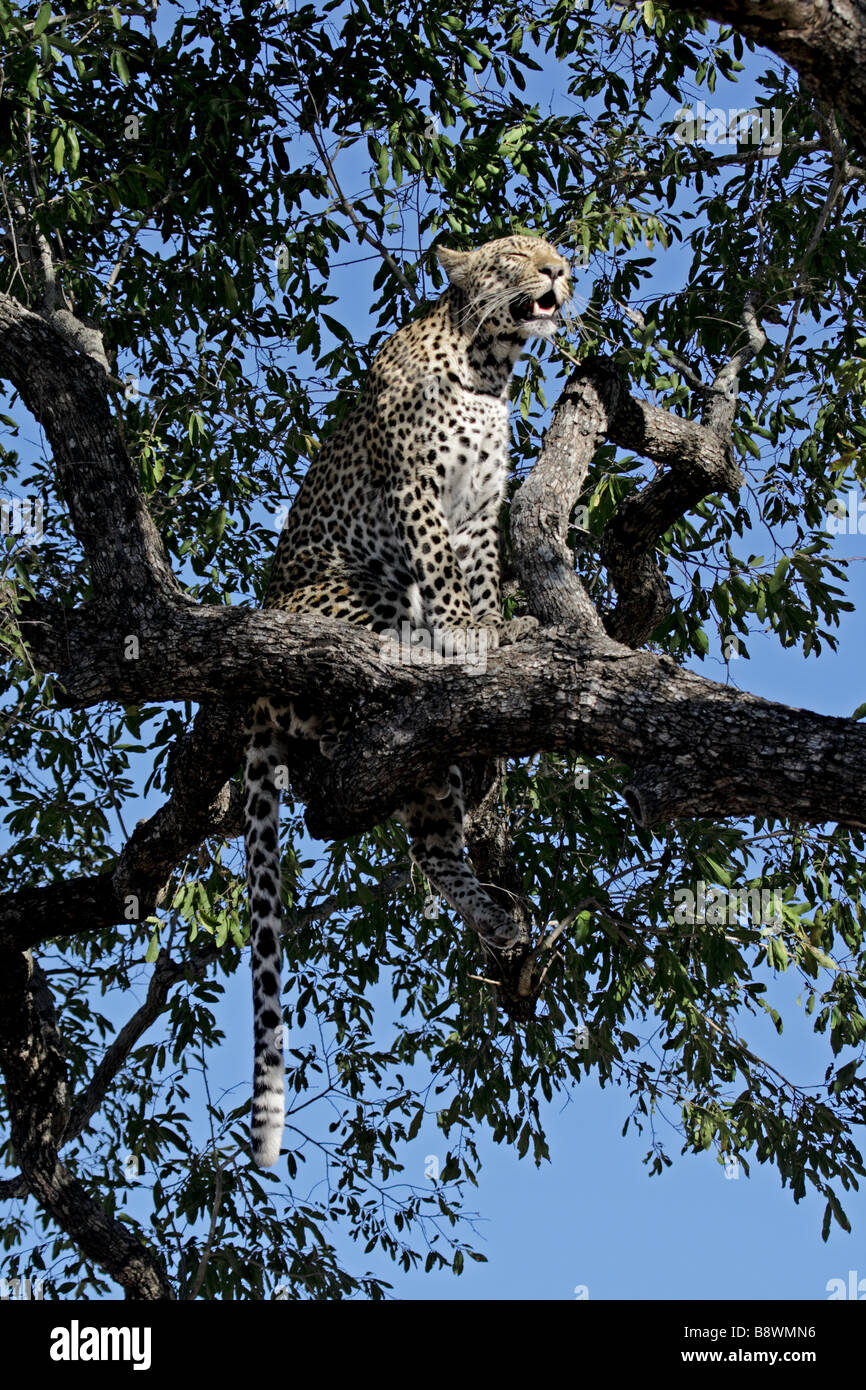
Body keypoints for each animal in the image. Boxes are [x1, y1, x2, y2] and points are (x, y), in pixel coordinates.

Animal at [244, 233, 572, 1166]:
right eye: (518, 254)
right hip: (354, 591)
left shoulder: (483, 508)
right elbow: (445, 573)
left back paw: (496, 917)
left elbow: (484, 571)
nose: (562, 272)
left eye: (551, 250)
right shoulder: (422, 491)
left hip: (426, 782)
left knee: (431, 848)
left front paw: (501, 622)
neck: (489, 367)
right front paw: (473, 633)